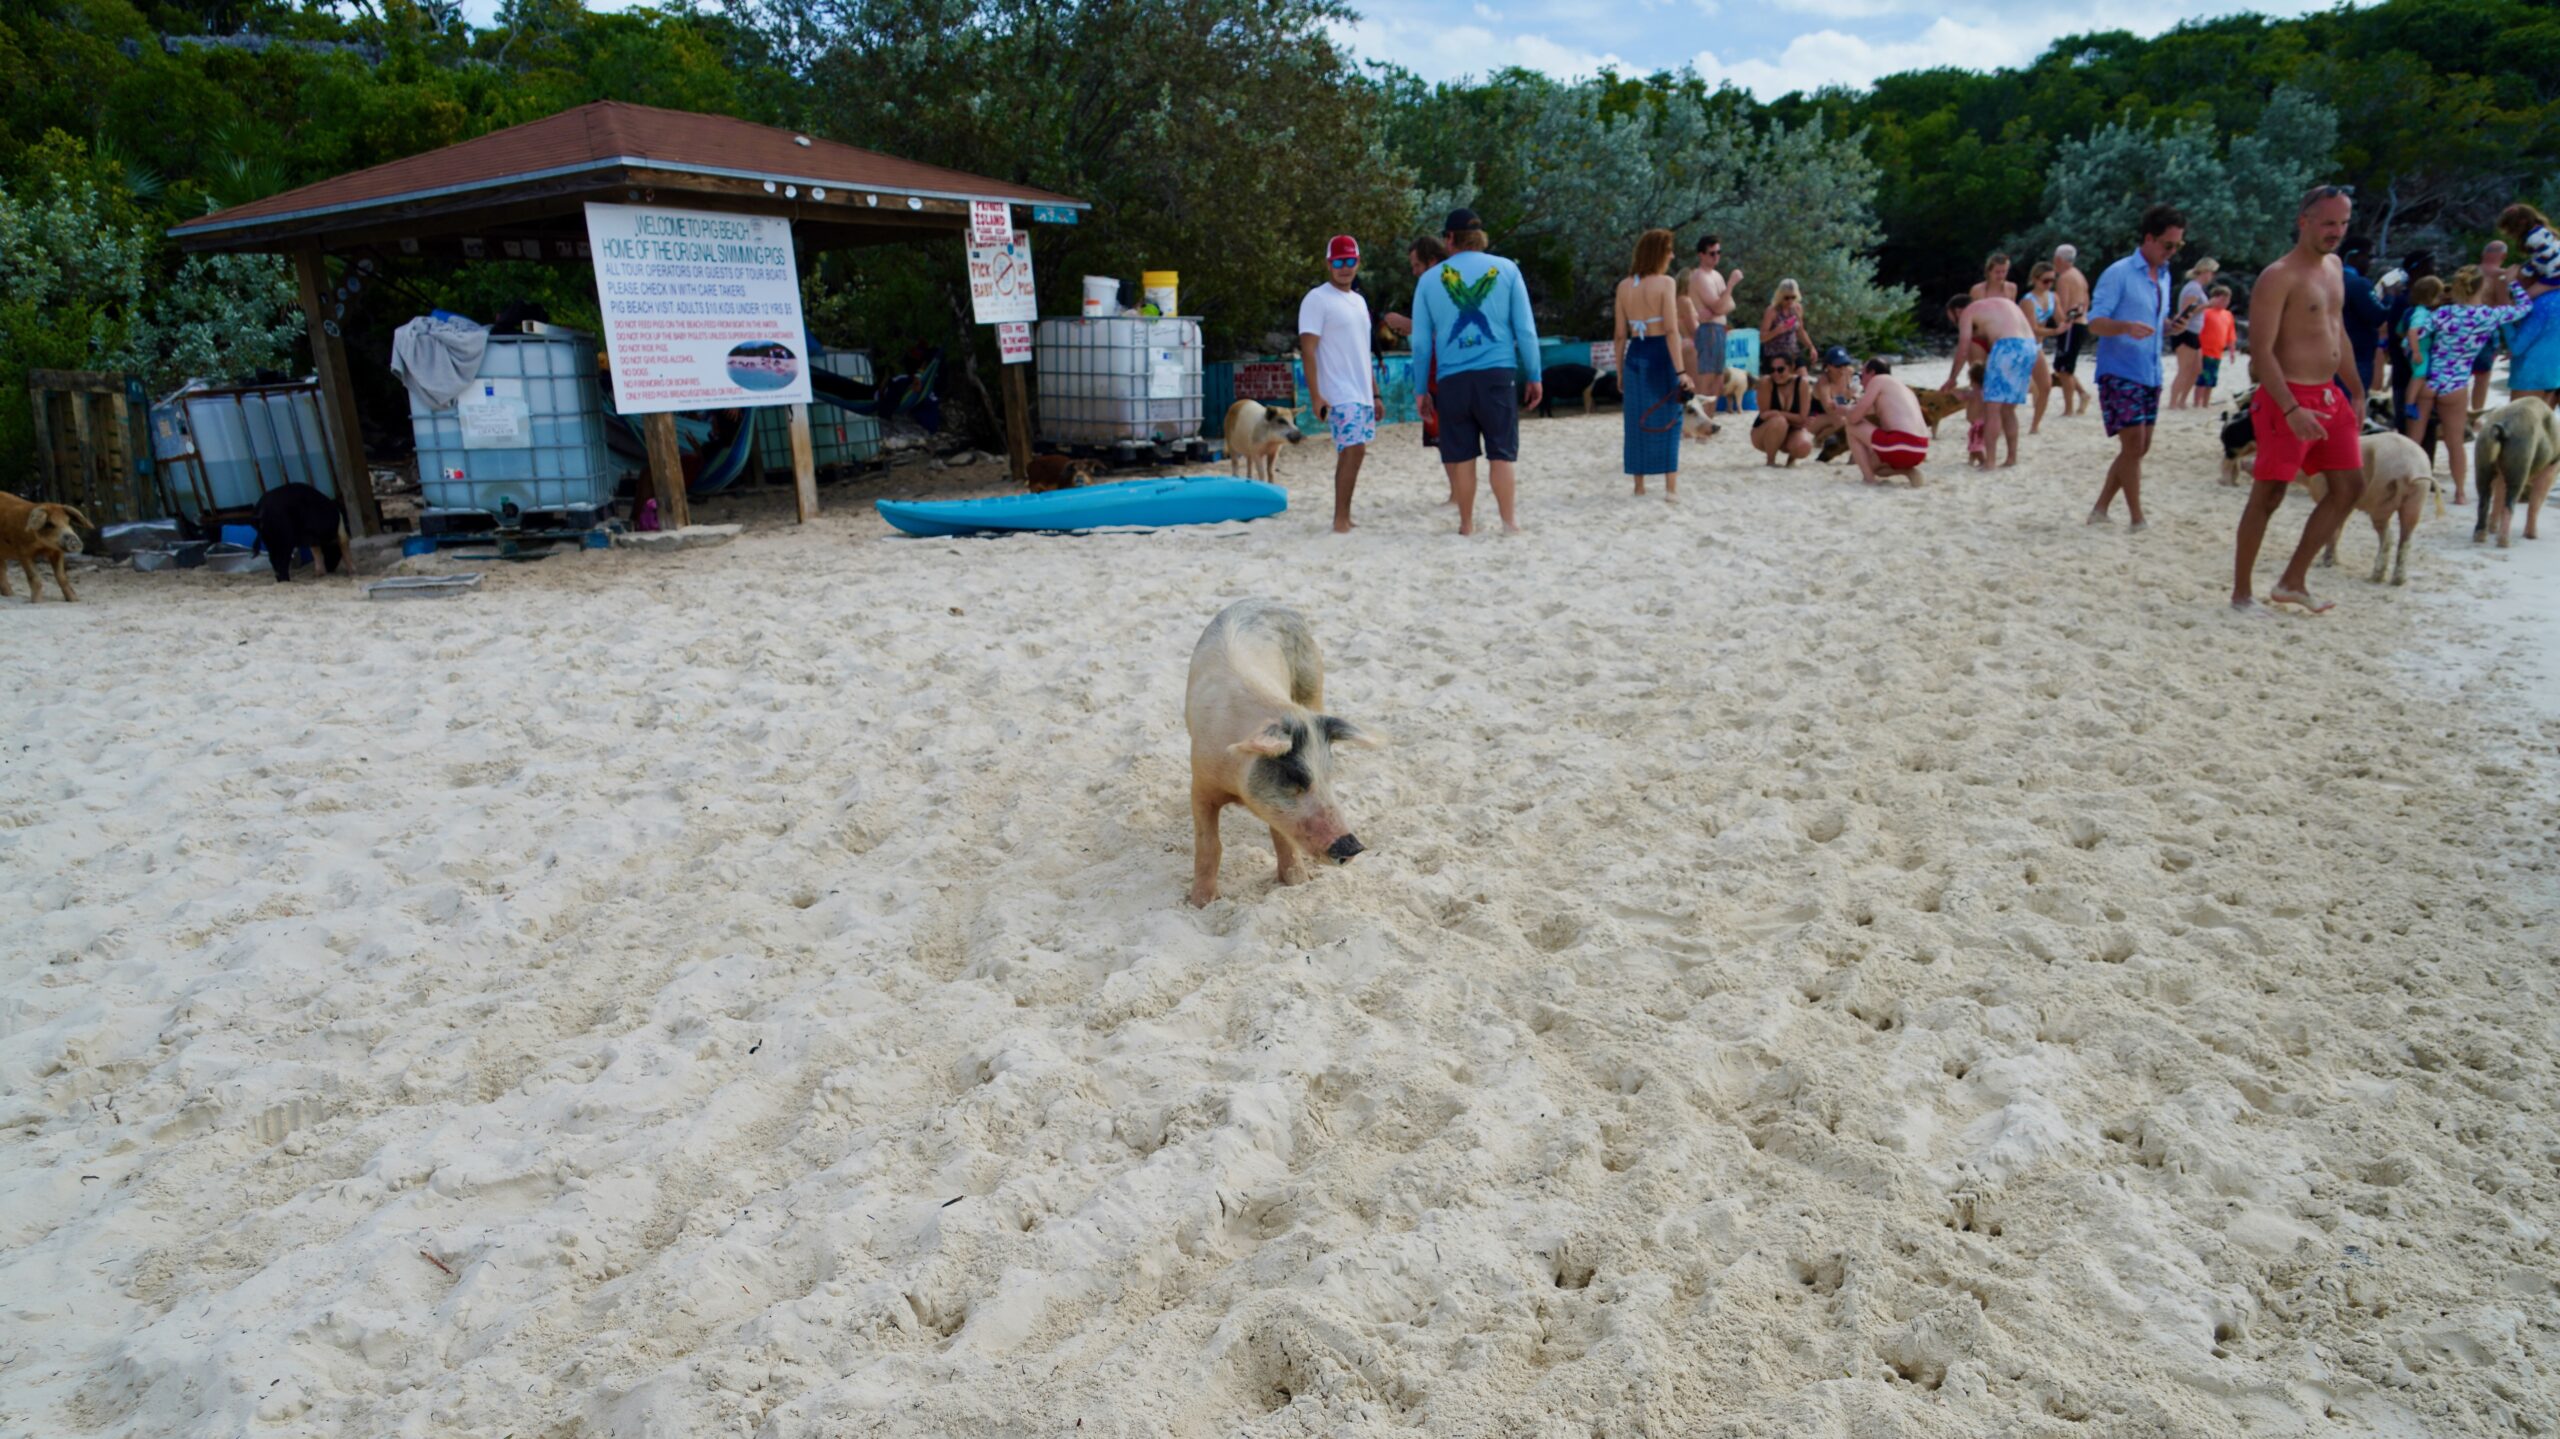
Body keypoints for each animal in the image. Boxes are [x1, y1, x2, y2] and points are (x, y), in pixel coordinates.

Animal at [1185, 599, 1380, 907]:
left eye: (1329, 776)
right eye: (1296, 779)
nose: (1354, 847)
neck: (1236, 784)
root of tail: (1261, 599)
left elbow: (1282, 836)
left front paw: (1299, 883)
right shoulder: (1200, 783)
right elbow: (1209, 845)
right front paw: (1200, 903)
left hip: (1313, 683)